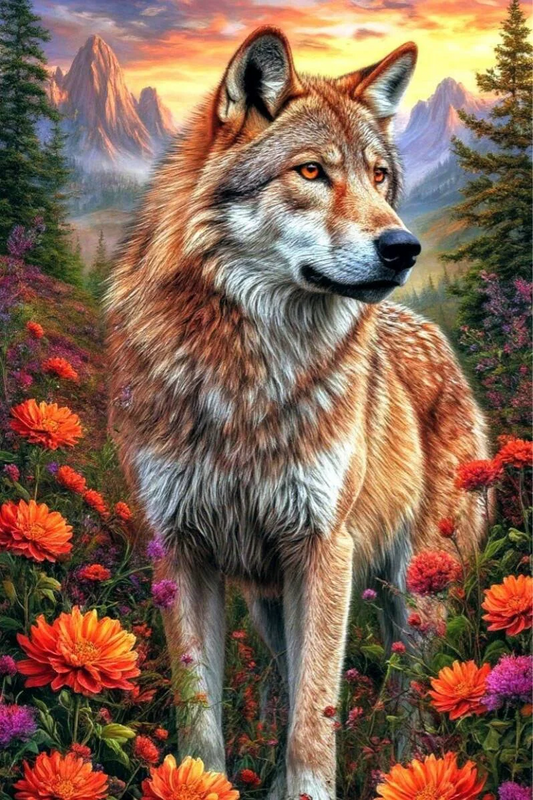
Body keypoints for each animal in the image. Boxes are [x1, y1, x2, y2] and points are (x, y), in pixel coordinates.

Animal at [107, 26, 487, 799]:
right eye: (311, 172)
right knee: (288, 689)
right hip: (271, 601)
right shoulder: (181, 551)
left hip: (414, 596)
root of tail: (434, 336)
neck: (244, 377)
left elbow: (314, 725)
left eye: (379, 177)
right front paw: (204, 783)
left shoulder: (323, 549)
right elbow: (203, 717)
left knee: (410, 704)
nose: (404, 247)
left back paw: (412, 773)